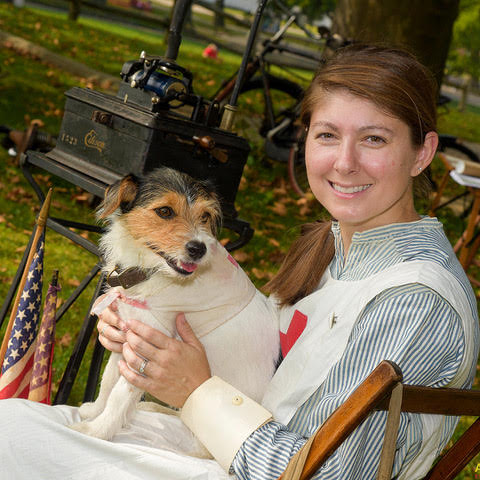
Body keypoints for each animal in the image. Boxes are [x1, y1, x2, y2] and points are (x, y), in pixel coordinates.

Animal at [71, 166, 282, 450]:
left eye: (204, 216)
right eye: (164, 211)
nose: (199, 249)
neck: (150, 273)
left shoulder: (148, 348)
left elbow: (120, 394)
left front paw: (97, 432)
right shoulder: (127, 334)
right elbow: (107, 380)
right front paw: (94, 411)